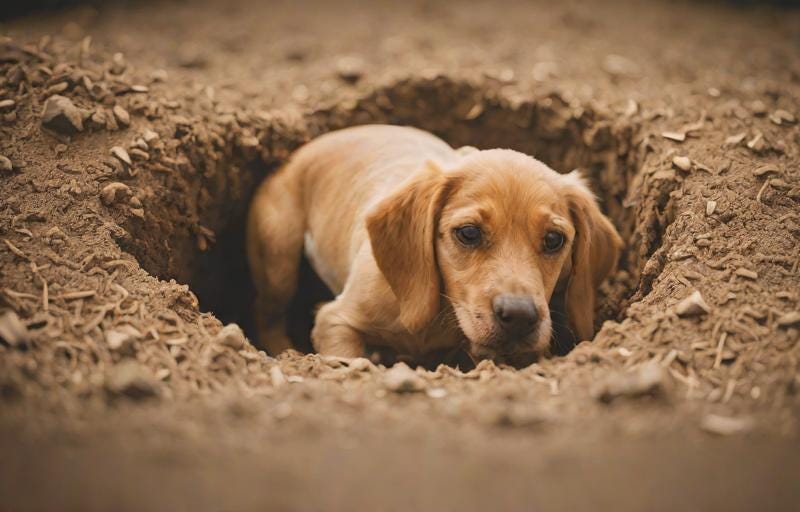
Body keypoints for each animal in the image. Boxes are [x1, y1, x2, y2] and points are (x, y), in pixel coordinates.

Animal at [247, 124, 620, 364]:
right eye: (468, 233)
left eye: (554, 239)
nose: (519, 317)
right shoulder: (335, 320)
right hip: (278, 263)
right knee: (268, 316)